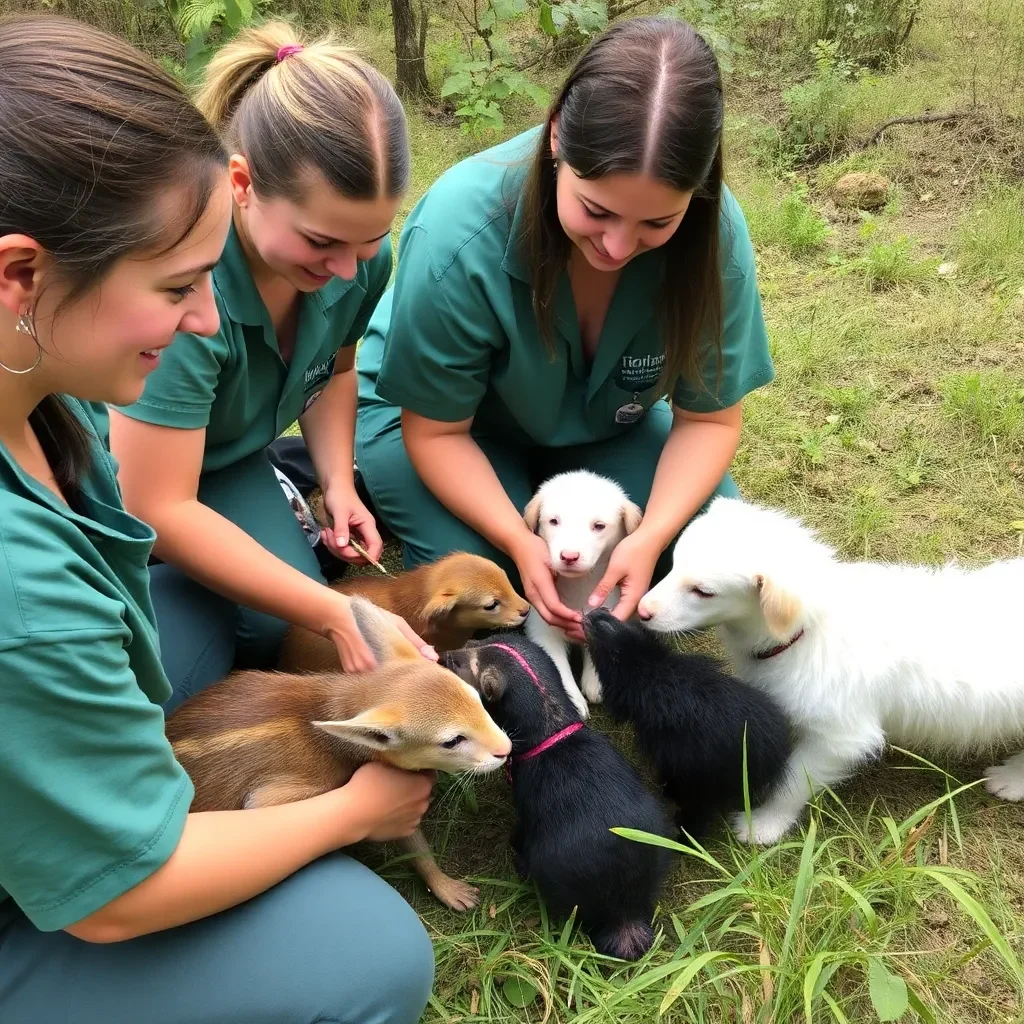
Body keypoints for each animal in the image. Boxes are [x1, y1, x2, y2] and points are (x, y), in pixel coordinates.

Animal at [440, 630, 671, 958]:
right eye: (473, 644)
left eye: (461, 664)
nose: (443, 654)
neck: (552, 726)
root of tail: (624, 911)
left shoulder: (524, 812)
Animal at [528, 468, 638, 716]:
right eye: (554, 521)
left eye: (599, 526)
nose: (569, 556)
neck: (579, 585)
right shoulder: (541, 628)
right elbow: (555, 666)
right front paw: (572, 700)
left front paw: (595, 681)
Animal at [638, 491, 1024, 843]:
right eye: (672, 565)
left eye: (703, 592)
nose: (642, 611)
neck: (808, 629)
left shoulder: (840, 737)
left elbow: (793, 780)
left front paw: (763, 825)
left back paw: (1010, 780)